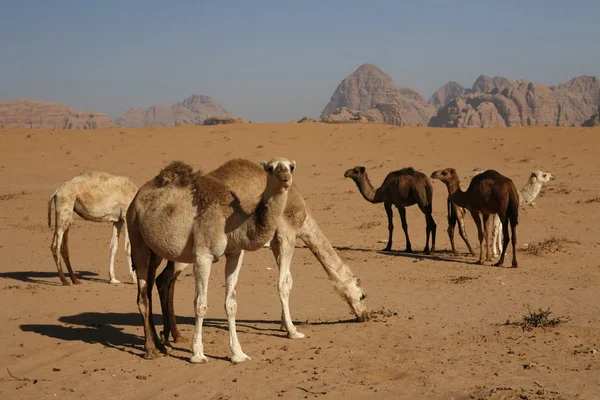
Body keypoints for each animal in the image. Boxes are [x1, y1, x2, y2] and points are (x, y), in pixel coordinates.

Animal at [127, 159, 296, 362]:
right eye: (270, 168)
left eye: (291, 166)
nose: (284, 175)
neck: (229, 221)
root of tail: (137, 196)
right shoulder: (203, 256)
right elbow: (200, 304)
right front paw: (198, 354)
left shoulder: (235, 254)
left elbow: (231, 304)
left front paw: (238, 354)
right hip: (136, 236)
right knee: (143, 295)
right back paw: (150, 350)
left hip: (155, 250)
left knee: (151, 287)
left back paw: (161, 345)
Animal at [150, 159, 368, 346]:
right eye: (363, 295)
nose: (366, 315)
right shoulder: (287, 235)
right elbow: (285, 282)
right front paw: (291, 330)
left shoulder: (275, 242)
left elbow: (286, 278)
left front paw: (283, 324)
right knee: (166, 280)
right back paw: (171, 336)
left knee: (164, 280)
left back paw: (172, 336)